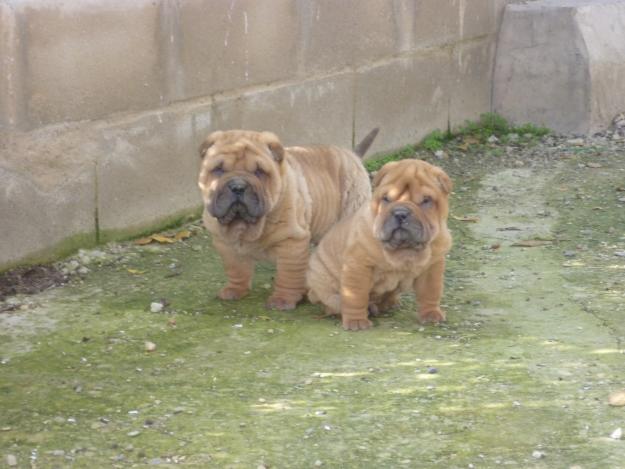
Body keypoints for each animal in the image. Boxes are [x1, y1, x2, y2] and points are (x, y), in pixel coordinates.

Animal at [197, 130, 378, 308]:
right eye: (218, 169)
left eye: (259, 172)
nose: (238, 186)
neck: (247, 226)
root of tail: (350, 154)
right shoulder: (226, 244)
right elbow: (236, 269)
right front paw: (235, 290)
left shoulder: (292, 242)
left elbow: (288, 275)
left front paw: (282, 300)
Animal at [308, 159, 450, 330]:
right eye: (386, 199)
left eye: (426, 200)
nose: (400, 213)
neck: (404, 249)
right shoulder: (358, 266)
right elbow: (356, 296)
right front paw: (356, 321)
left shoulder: (432, 266)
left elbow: (431, 291)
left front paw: (431, 313)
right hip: (322, 280)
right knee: (333, 302)